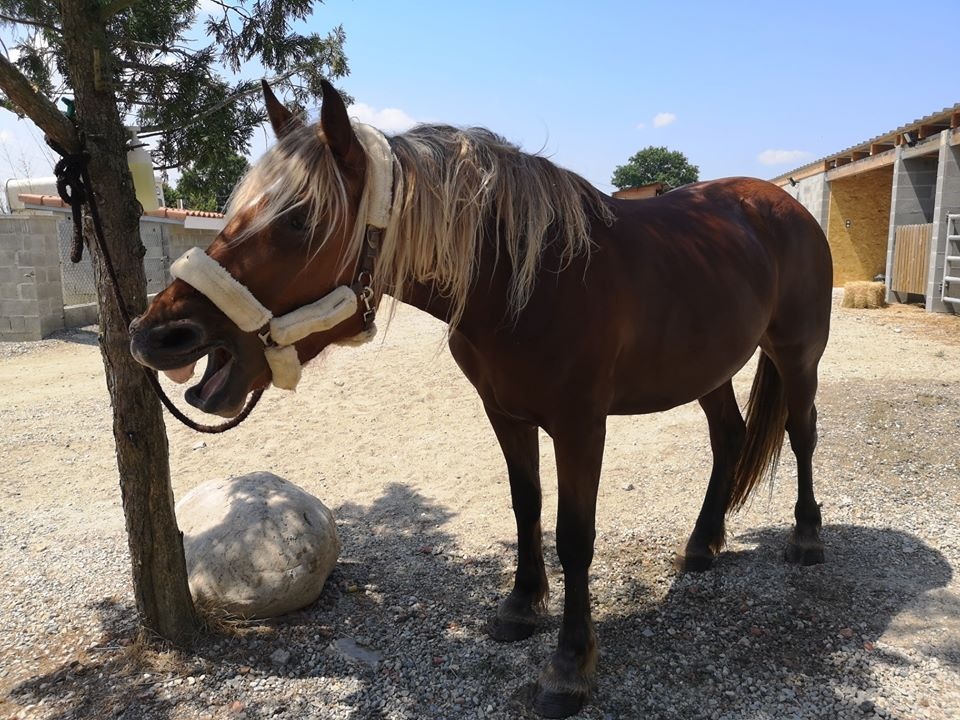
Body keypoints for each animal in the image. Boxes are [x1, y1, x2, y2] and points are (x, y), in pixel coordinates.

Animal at [129, 80, 833, 718]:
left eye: (301, 220)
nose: (156, 335)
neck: (531, 279)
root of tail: (782, 203)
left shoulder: (581, 426)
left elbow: (575, 536)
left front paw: (569, 667)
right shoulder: (506, 414)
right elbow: (526, 508)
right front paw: (522, 607)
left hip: (797, 354)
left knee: (801, 433)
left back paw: (806, 539)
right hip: (709, 369)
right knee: (729, 438)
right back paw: (703, 543)